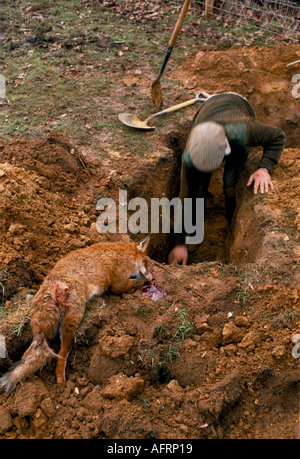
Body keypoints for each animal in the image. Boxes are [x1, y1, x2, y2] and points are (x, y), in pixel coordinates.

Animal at [0, 237, 151, 392]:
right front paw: (145, 280)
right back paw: (61, 383)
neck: (122, 252)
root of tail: (54, 285)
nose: (151, 275)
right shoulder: (118, 283)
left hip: (40, 329)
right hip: (71, 325)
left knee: (27, 356)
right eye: (147, 262)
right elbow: (133, 283)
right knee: (61, 356)